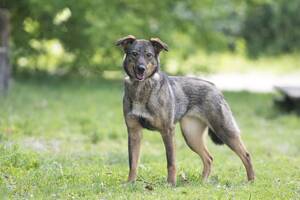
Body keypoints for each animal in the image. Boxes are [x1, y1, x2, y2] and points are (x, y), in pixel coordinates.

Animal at [116, 34, 254, 186]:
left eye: (149, 55)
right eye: (134, 54)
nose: (141, 68)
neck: (141, 90)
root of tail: (215, 87)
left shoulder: (167, 131)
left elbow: (171, 162)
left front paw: (170, 184)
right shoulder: (134, 132)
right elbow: (133, 162)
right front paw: (130, 183)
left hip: (224, 130)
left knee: (246, 155)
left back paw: (251, 181)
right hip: (191, 136)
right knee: (208, 158)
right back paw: (202, 182)